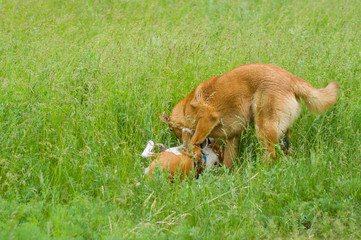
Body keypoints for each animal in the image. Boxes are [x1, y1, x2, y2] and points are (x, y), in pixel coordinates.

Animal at [158, 62, 338, 167]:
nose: (178, 143)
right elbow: (228, 161)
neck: (185, 108)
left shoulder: (208, 118)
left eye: (174, 132)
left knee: (270, 156)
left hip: (263, 128)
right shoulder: (232, 137)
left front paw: (193, 152)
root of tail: (292, 79)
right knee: (285, 151)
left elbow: (194, 139)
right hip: (282, 132)